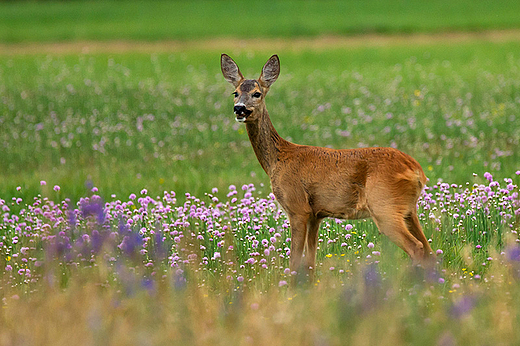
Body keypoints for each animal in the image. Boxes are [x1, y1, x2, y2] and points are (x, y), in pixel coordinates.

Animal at [220, 53, 434, 276]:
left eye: (257, 93)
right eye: (235, 93)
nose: (239, 109)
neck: (277, 159)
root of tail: (417, 171)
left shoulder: (297, 207)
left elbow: (294, 263)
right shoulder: (316, 215)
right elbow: (310, 264)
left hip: (385, 206)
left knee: (417, 247)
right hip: (409, 210)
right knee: (430, 251)